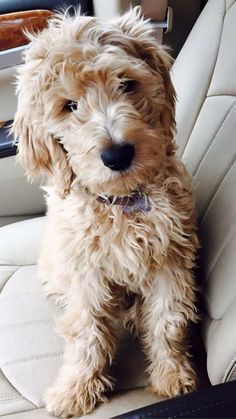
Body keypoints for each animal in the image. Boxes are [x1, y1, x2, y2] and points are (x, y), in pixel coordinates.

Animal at [12, 7, 199, 419]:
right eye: (69, 106)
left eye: (127, 84)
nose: (117, 155)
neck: (123, 201)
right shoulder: (85, 271)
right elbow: (86, 331)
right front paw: (75, 388)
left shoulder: (170, 261)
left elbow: (168, 319)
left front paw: (172, 375)